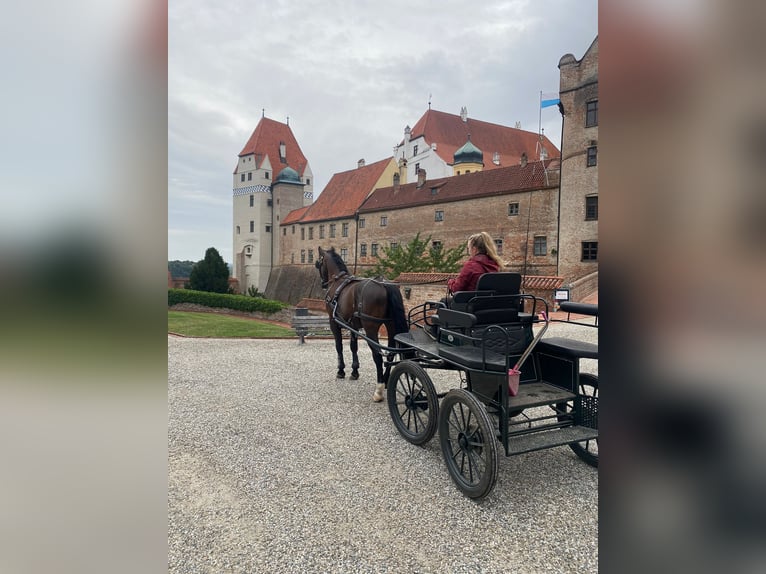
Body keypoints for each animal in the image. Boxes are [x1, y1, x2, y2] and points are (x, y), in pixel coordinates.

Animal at [316, 245, 414, 402]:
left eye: (318, 263)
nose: (323, 283)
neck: (338, 281)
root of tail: (384, 284)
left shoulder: (333, 322)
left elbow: (339, 346)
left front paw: (341, 370)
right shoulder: (352, 325)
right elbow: (353, 347)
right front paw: (355, 371)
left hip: (371, 328)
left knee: (378, 355)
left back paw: (379, 389)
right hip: (390, 325)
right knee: (390, 354)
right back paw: (386, 381)